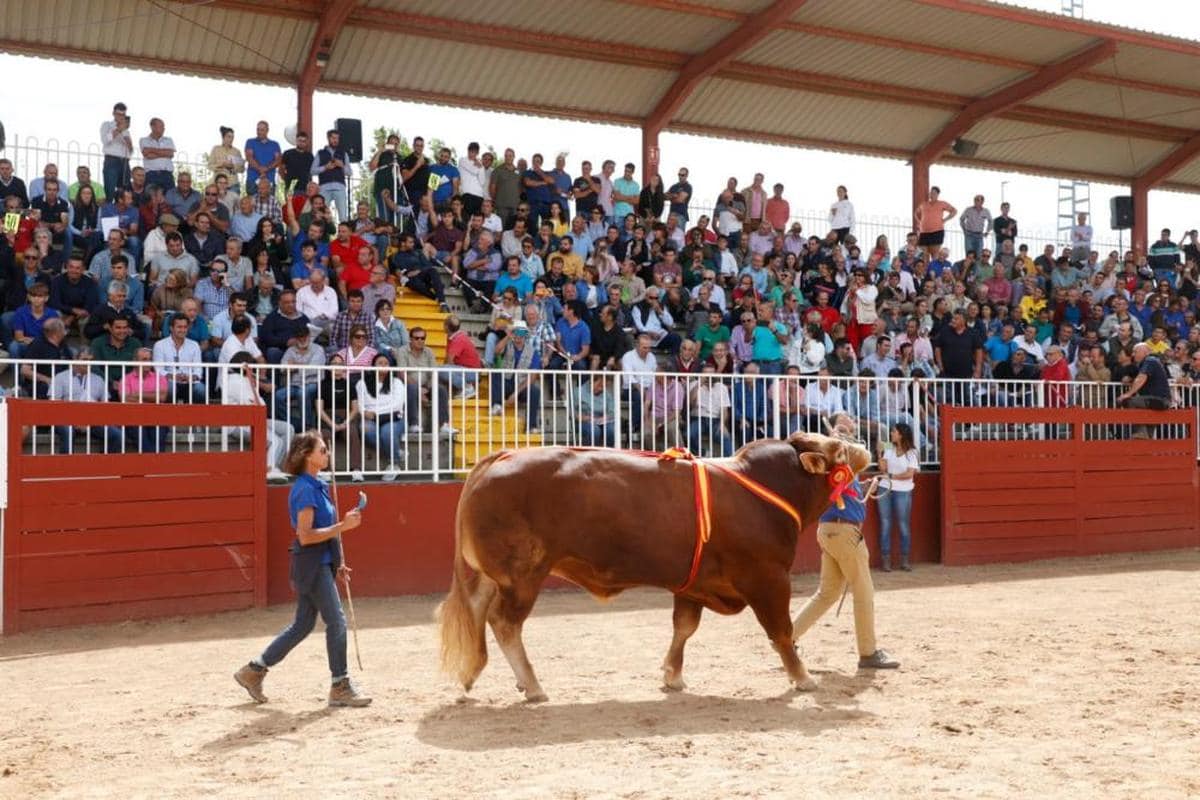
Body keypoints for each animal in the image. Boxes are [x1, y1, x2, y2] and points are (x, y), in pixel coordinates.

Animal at [436, 431, 868, 700]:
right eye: (838, 449)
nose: (864, 445)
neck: (761, 486)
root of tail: (501, 456)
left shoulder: (693, 583)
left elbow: (684, 627)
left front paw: (672, 675)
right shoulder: (768, 578)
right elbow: (781, 631)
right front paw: (803, 677)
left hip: (496, 577)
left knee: (476, 612)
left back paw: (471, 674)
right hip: (523, 577)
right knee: (504, 623)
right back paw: (533, 684)